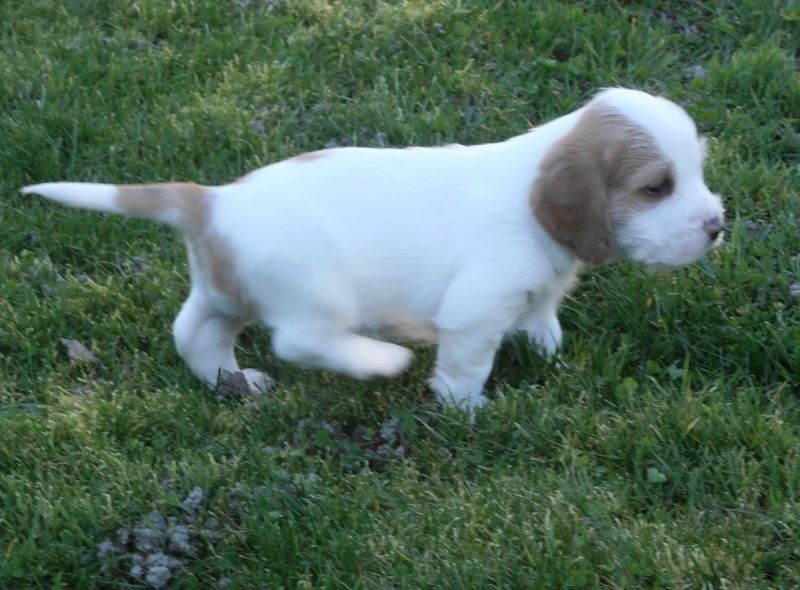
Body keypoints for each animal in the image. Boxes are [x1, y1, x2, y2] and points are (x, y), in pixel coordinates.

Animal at [23, 89, 724, 412]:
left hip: (225, 292)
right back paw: (379, 360)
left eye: (697, 172)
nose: (718, 225)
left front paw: (547, 352)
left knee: (195, 333)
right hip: (317, 292)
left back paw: (236, 383)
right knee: (300, 341)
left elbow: (541, 317)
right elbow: (467, 364)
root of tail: (213, 201)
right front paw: (469, 409)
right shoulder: (476, 310)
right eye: (657, 187)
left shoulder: (535, 290)